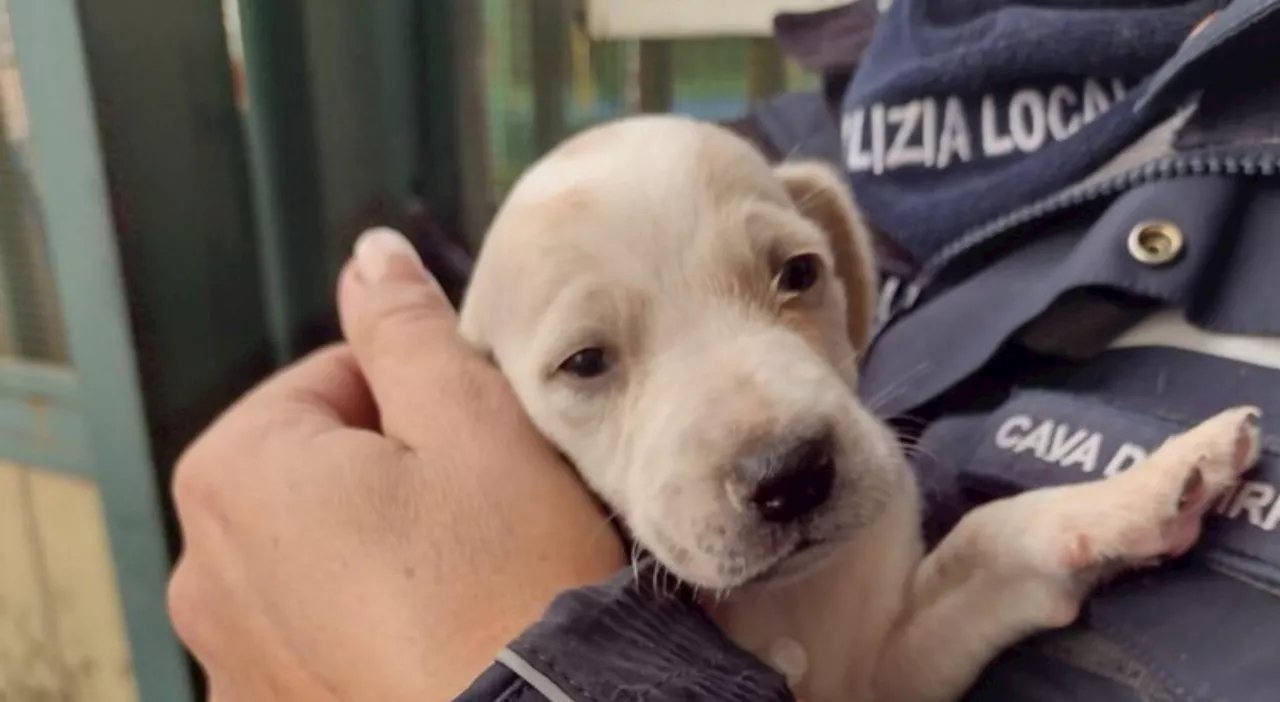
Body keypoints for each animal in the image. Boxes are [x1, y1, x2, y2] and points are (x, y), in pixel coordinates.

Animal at [458, 116, 1259, 702]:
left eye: (799, 272)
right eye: (585, 363)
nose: (791, 476)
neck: (793, 605)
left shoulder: (889, 673)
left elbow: (988, 535)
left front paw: (1149, 487)